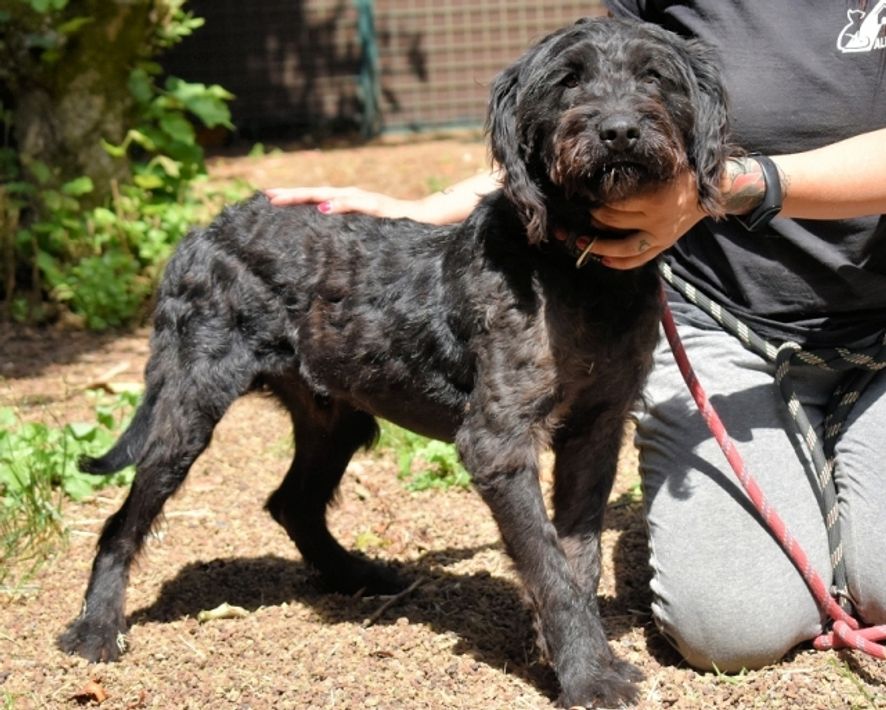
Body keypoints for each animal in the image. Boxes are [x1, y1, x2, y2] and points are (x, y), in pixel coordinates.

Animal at [59, 17, 731, 708]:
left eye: (654, 75)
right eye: (568, 80)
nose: (619, 130)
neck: (580, 267)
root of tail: (202, 232)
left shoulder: (596, 427)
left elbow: (578, 555)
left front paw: (567, 652)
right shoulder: (497, 442)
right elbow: (548, 564)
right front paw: (589, 673)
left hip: (337, 418)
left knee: (291, 503)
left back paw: (359, 574)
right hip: (188, 408)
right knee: (120, 524)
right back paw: (95, 630)